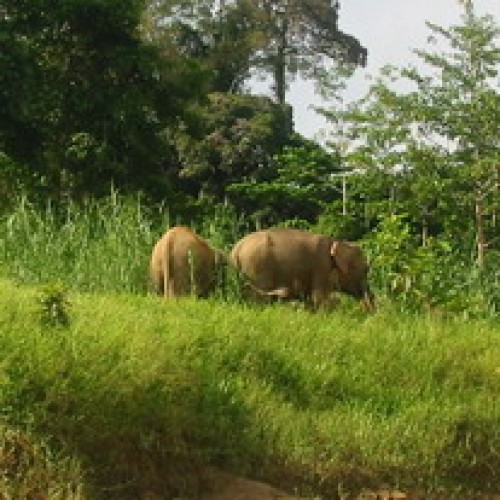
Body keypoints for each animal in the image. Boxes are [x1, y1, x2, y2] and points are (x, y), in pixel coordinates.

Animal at [229, 229, 374, 310]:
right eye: (366, 269)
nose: (370, 313)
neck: (337, 241)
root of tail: (236, 249)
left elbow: (310, 299)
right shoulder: (321, 265)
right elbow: (319, 298)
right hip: (256, 268)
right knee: (259, 297)